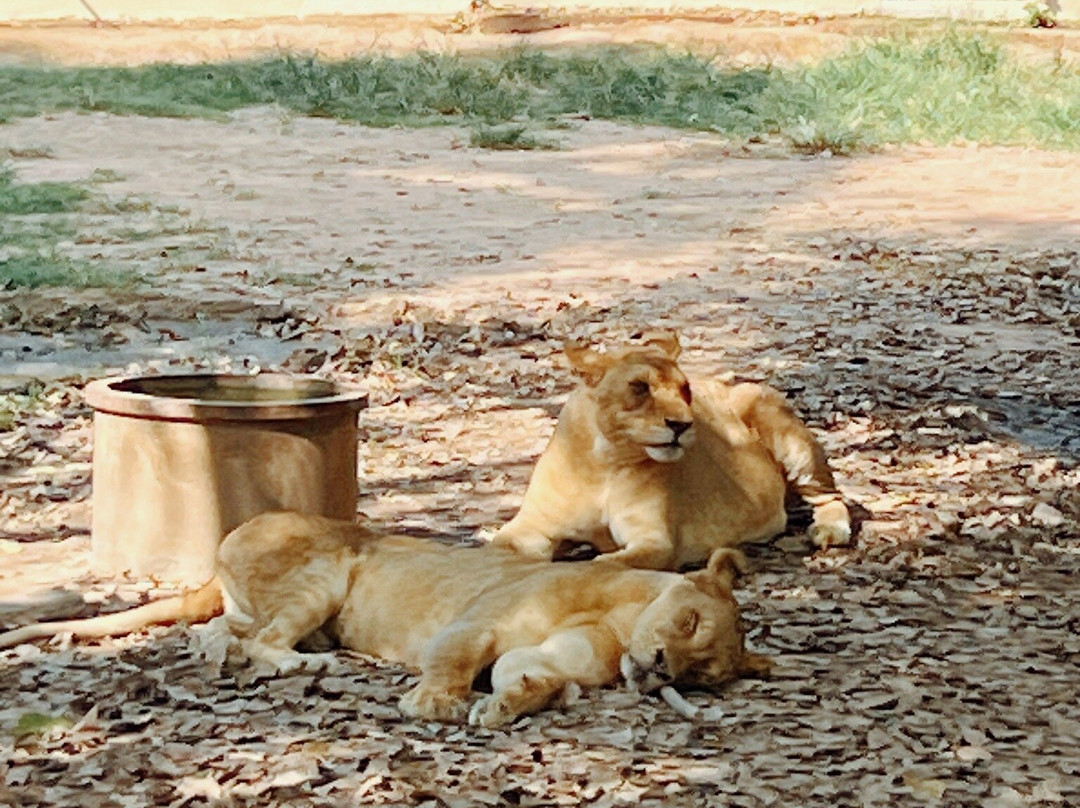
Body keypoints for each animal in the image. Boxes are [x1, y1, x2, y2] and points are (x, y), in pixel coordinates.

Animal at [4, 512, 773, 725]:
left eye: (704, 676)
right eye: (690, 623)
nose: (663, 670)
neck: (619, 618)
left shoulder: (546, 654)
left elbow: (540, 678)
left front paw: (511, 703)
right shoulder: (475, 624)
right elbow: (452, 663)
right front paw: (433, 702)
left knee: (226, 632)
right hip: (326, 570)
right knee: (263, 639)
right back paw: (310, 662)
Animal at [492, 330, 851, 570]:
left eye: (685, 389)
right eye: (640, 387)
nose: (682, 425)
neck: (603, 463)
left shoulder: (655, 541)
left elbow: (604, 564)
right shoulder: (532, 526)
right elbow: (498, 547)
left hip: (771, 415)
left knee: (831, 496)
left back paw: (829, 530)